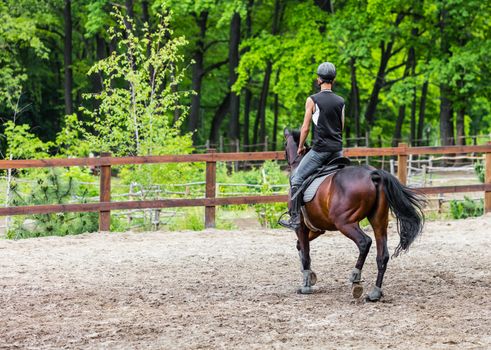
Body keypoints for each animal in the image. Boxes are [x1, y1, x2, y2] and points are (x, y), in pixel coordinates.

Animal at [284, 129, 426, 300]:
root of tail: (372, 174)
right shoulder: (316, 228)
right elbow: (301, 247)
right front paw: (310, 276)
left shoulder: (301, 227)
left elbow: (305, 252)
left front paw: (306, 285)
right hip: (378, 222)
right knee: (382, 255)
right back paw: (375, 293)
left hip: (344, 222)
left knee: (364, 242)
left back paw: (355, 279)